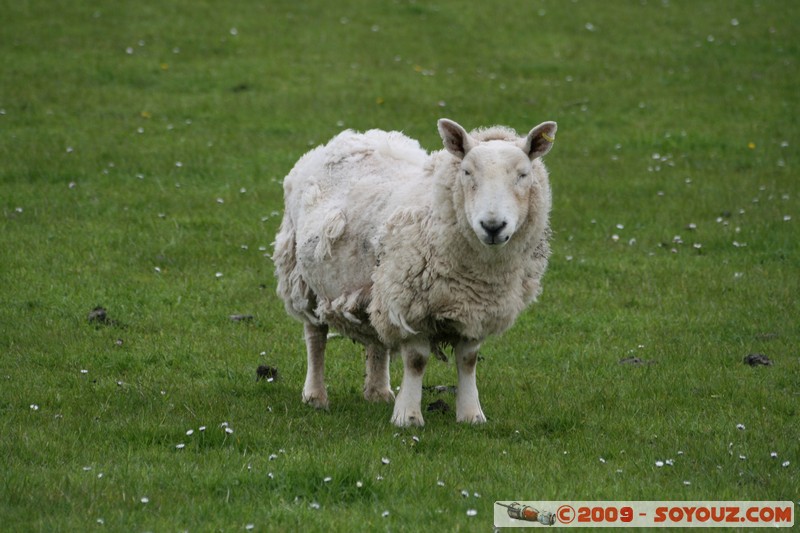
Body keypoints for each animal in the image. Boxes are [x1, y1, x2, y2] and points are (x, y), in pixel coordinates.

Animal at [274, 118, 556, 426]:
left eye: (523, 174)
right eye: (467, 171)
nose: (493, 226)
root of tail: (350, 137)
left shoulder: (475, 308)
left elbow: (468, 361)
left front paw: (471, 414)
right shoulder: (410, 305)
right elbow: (416, 361)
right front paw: (407, 416)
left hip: (378, 284)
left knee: (376, 336)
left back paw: (378, 392)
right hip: (303, 278)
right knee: (315, 335)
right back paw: (315, 395)